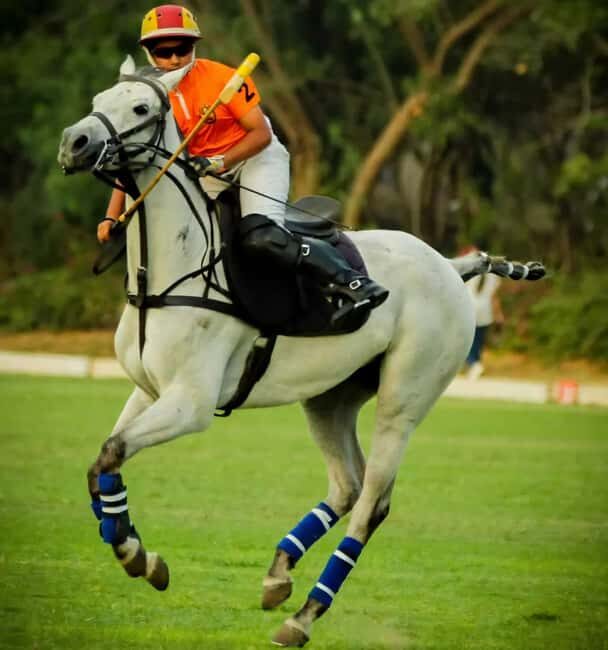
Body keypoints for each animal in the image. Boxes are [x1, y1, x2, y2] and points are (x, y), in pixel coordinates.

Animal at [57, 55, 545, 647]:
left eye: (141, 107)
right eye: (100, 99)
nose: (74, 142)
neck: (170, 266)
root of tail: (451, 267)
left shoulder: (191, 403)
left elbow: (111, 452)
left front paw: (134, 554)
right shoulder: (148, 390)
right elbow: (104, 460)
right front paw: (139, 554)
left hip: (404, 401)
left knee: (372, 503)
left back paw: (304, 615)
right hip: (330, 398)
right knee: (347, 485)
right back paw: (278, 574)